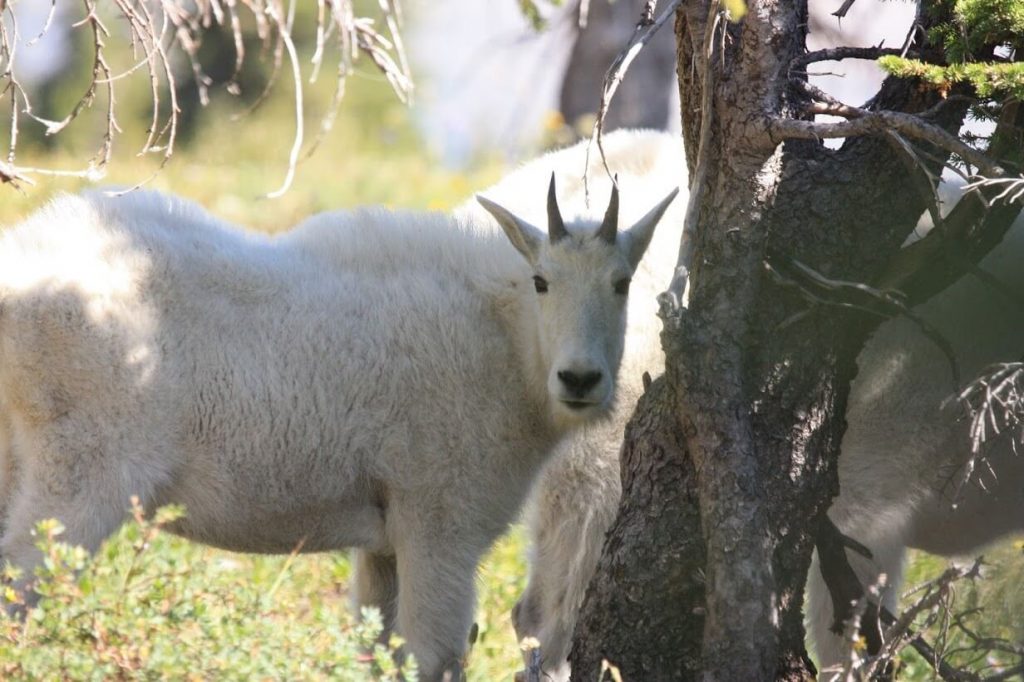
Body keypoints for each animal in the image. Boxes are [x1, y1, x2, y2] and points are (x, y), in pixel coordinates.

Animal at [0, 181, 676, 681]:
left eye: (622, 283)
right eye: (542, 281)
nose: (581, 378)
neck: (509, 340)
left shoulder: (383, 541)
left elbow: (380, 650)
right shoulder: (441, 525)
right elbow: (436, 656)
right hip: (81, 473)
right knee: (19, 588)